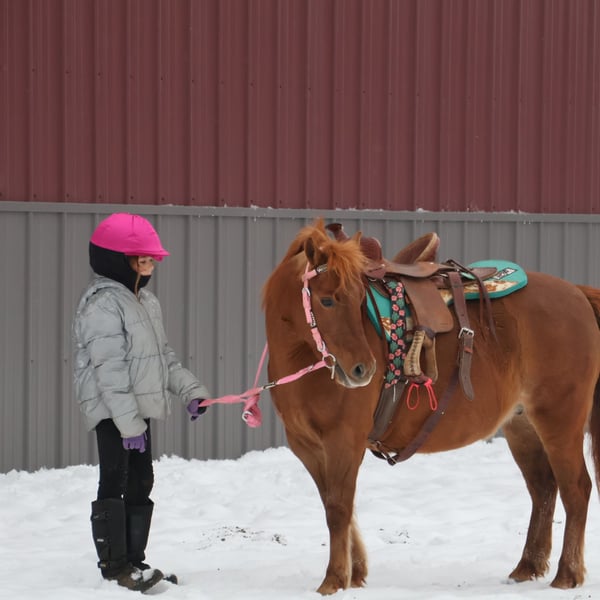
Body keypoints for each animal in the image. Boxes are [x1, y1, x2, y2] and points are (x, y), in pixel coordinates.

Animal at [261, 218, 600, 595]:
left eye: (360, 299)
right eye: (326, 301)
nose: (364, 369)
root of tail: (577, 293)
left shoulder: (344, 442)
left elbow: (338, 508)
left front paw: (334, 579)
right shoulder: (307, 446)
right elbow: (336, 505)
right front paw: (356, 572)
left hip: (560, 419)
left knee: (576, 488)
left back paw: (567, 574)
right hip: (522, 425)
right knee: (543, 489)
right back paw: (527, 567)